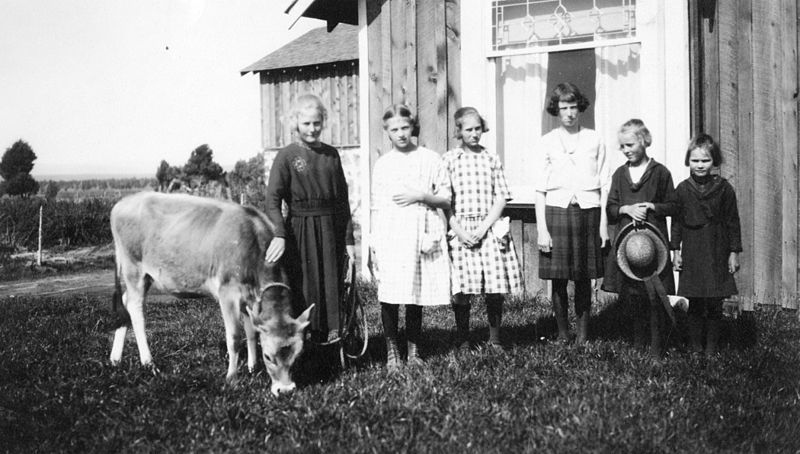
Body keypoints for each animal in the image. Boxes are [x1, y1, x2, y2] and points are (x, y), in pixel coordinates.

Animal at [111, 190, 310, 396]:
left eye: (298, 355)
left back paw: (115, 359)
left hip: (147, 276)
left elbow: (252, 332)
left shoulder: (250, 299)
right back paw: (149, 363)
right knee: (135, 309)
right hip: (133, 269)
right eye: (268, 356)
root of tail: (126, 200)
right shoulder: (228, 293)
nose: (286, 390)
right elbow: (234, 337)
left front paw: (252, 368)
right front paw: (232, 378)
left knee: (124, 302)